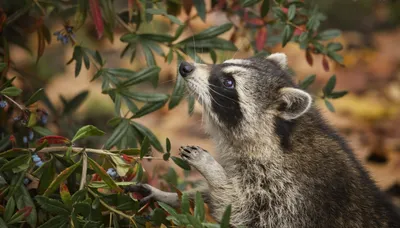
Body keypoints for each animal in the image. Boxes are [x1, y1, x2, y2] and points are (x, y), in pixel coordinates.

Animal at [126, 54, 400, 228]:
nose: (185, 66)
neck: (275, 137)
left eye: (228, 82)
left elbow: (243, 214)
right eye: (222, 64)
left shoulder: (291, 193)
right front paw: (172, 196)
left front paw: (212, 171)